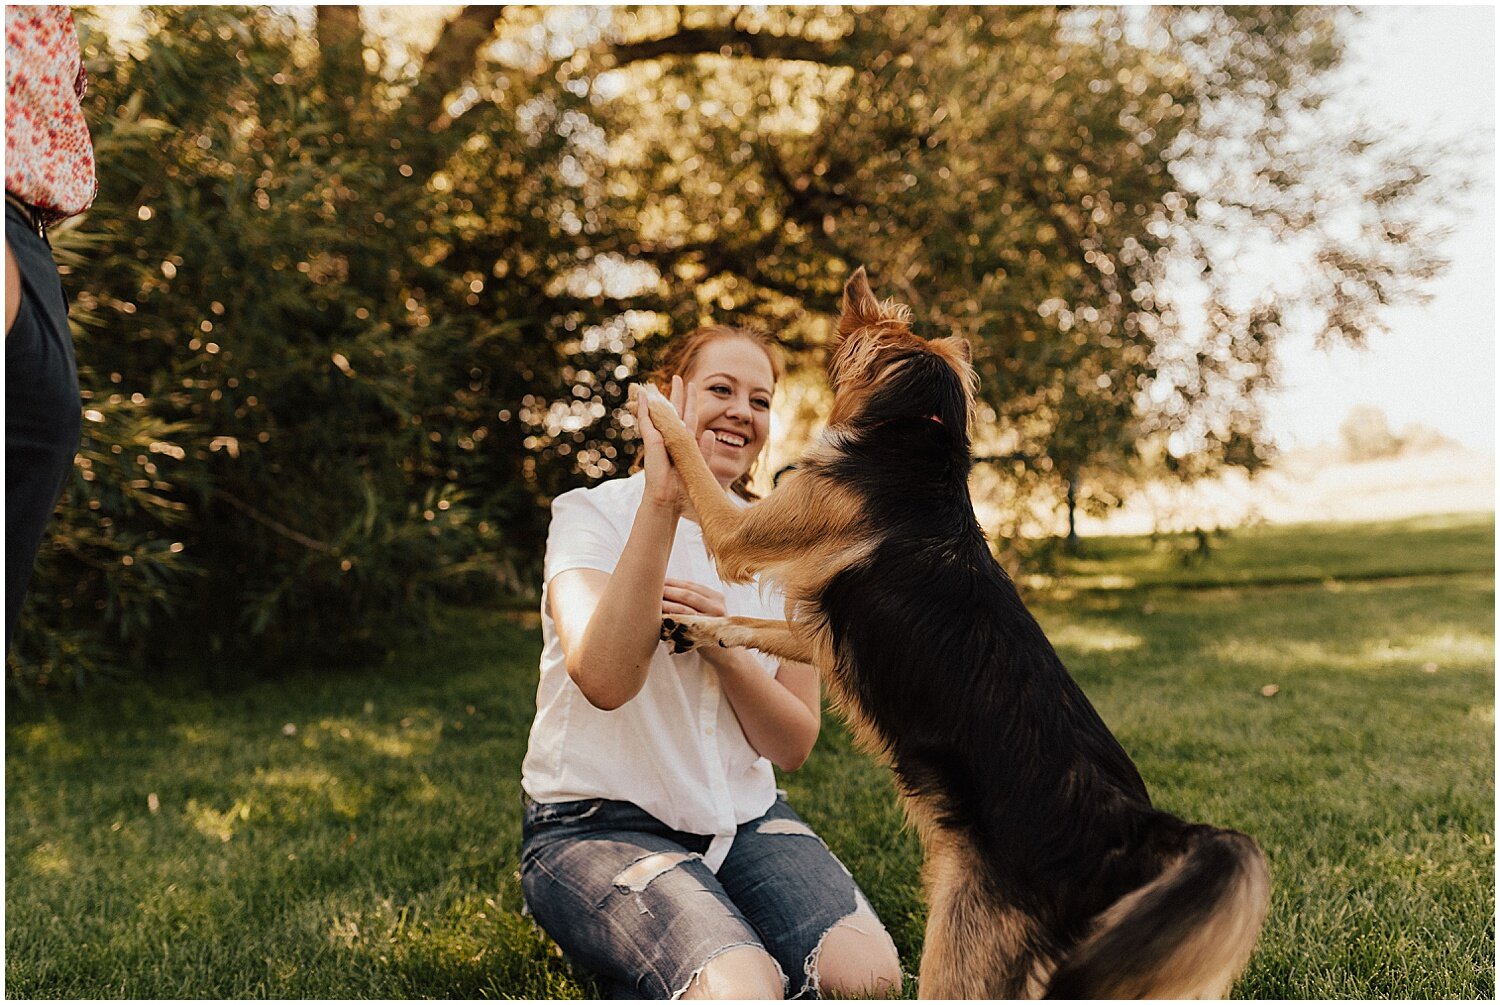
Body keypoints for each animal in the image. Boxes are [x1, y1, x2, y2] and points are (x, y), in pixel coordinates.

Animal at [633, 271, 1266, 1002]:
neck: (916, 438)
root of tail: (1136, 833)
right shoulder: (817, 636)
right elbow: (744, 626)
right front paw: (694, 624)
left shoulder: (741, 535)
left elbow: (692, 459)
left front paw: (655, 399)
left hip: (961, 938)